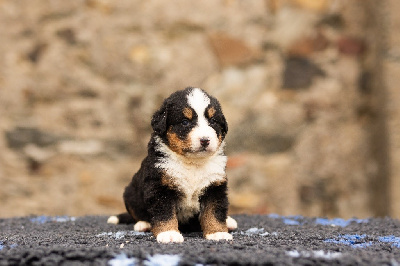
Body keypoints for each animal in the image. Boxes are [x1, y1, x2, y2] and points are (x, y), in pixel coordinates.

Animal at [107, 87, 238, 243]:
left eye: (212, 121)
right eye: (185, 122)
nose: (205, 140)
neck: (192, 163)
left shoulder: (214, 186)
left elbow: (214, 212)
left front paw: (217, 233)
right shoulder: (160, 187)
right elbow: (165, 213)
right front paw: (169, 233)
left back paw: (229, 221)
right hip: (130, 193)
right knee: (136, 214)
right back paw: (144, 224)